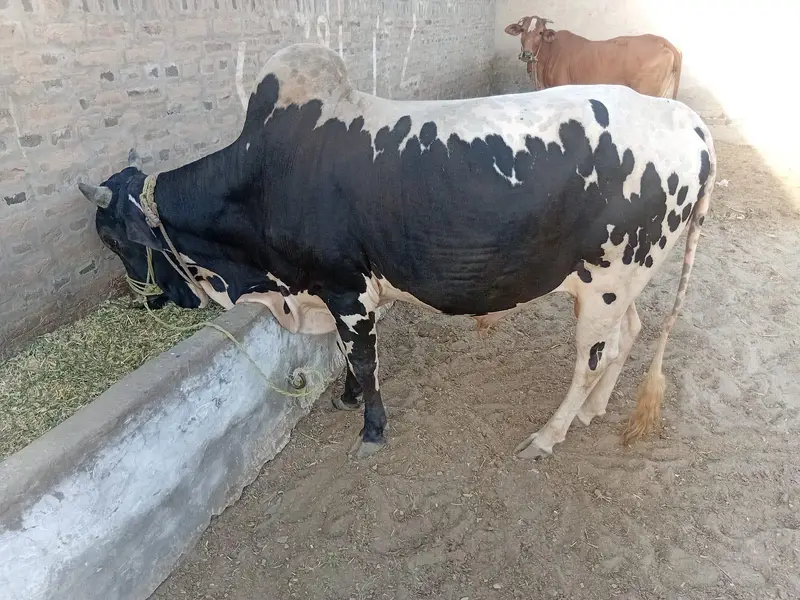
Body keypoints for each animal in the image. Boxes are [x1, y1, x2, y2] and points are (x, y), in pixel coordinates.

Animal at [77, 43, 715, 460]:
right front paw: (346, 400)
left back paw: (548, 435)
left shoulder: (347, 288)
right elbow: (346, 355)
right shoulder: (336, 292)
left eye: (113, 239)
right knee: (628, 336)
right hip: (616, 282)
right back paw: (591, 411)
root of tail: (685, 119)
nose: (147, 302)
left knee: (592, 360)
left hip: (609, 281)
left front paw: (371, 429)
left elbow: (362, 357)